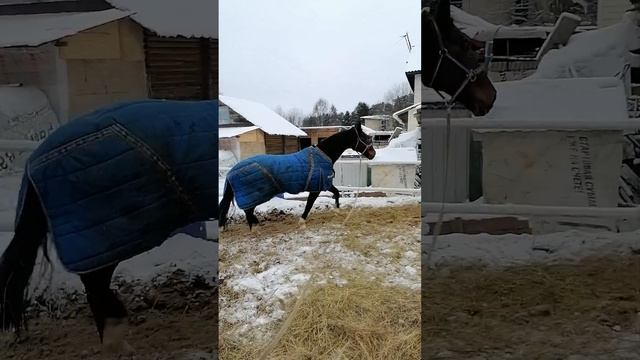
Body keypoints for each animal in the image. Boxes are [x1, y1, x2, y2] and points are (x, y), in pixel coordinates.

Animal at [219, 122, 376, 229]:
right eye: (365, 137)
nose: (373, 154)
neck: (323, 155)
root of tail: (232, 171)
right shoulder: (316, 188)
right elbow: (309, 204)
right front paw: (302, 221)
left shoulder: (325, 184)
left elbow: (336, 193)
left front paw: (337, 210)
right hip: (253, 196)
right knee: (248, 212)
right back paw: (255, 228)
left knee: (249, 212)